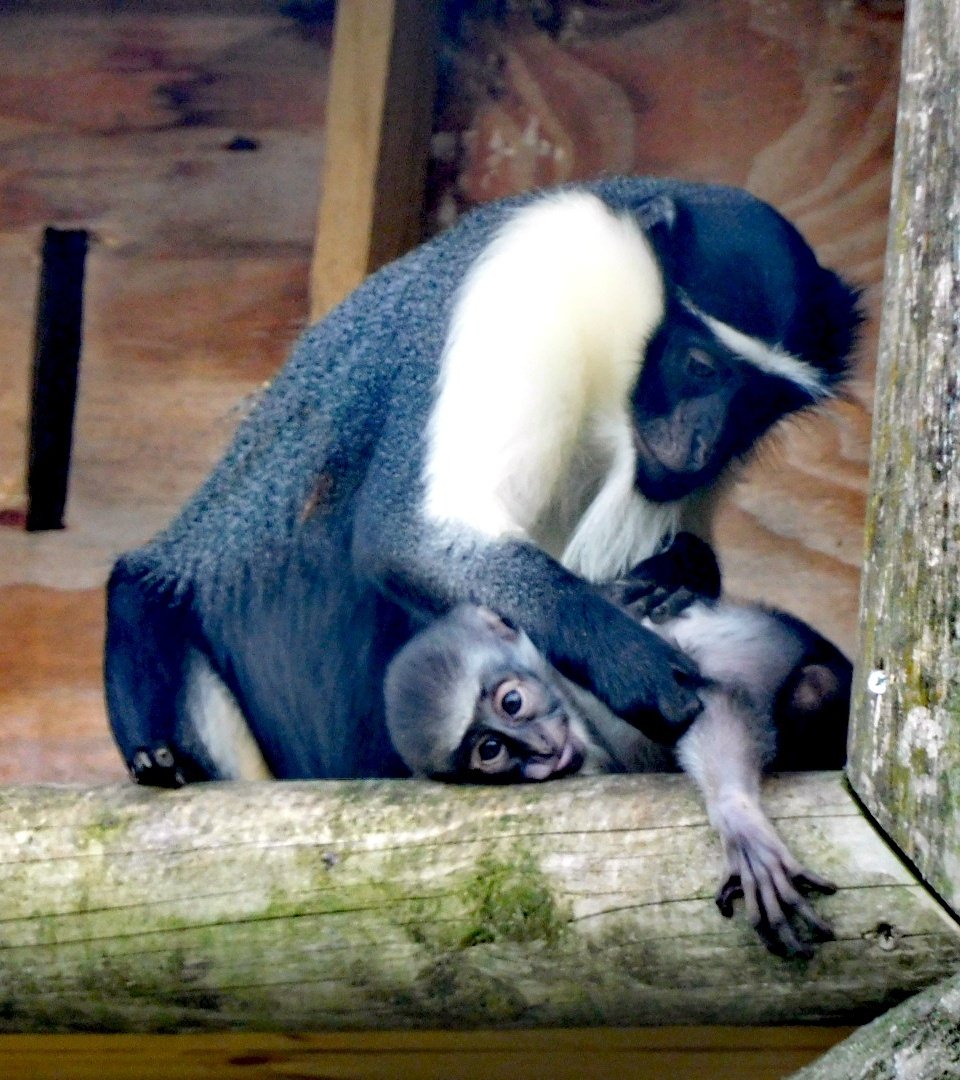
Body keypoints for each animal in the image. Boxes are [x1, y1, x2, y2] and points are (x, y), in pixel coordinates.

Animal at [104, 177, 860, 787]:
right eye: (701, 366)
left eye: (759, 403)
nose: (702, 444)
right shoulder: (532, 275)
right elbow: (410, 540)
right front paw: (630, 659)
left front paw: (679, 572)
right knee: (149, 594)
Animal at [383, 541, 852, 957]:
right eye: (492, 749)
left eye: (511, 702)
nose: (540, 751)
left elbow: (711, 700)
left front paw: (737, 813)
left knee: (814, 687)